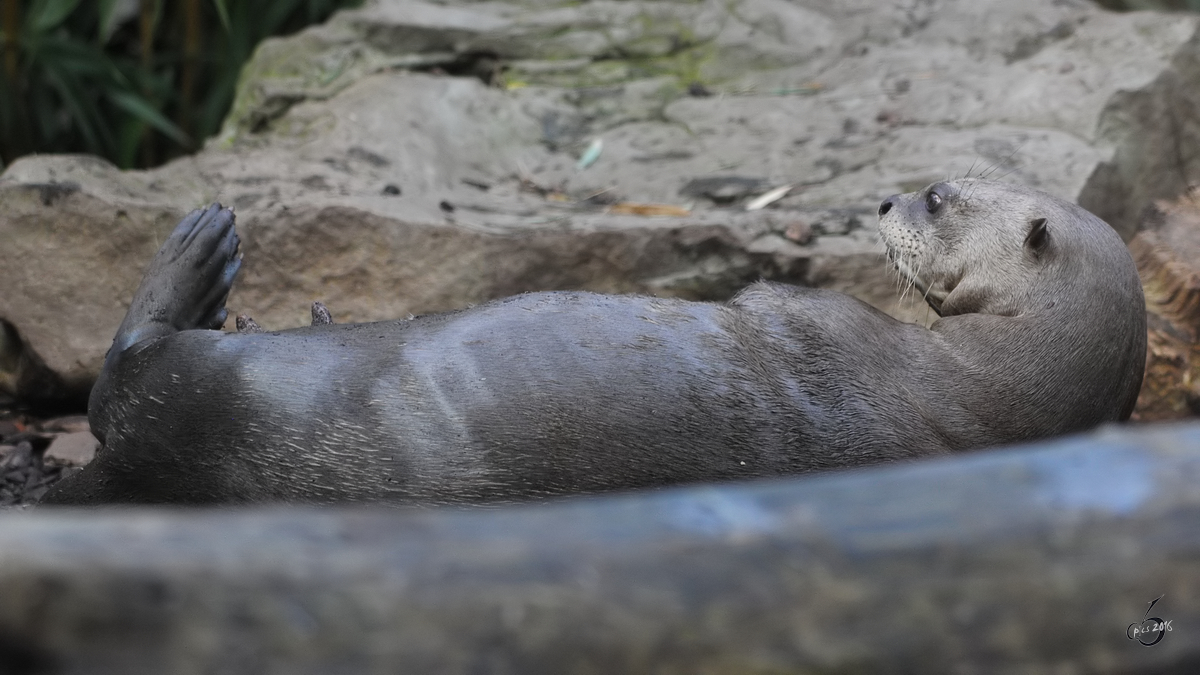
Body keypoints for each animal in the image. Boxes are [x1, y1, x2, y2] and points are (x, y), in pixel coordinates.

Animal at [37, 178, 1142, 504]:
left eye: (940, 198)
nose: (884, 198)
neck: (972, 395)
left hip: (197, 404)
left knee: (125, 374)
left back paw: (204, 254)